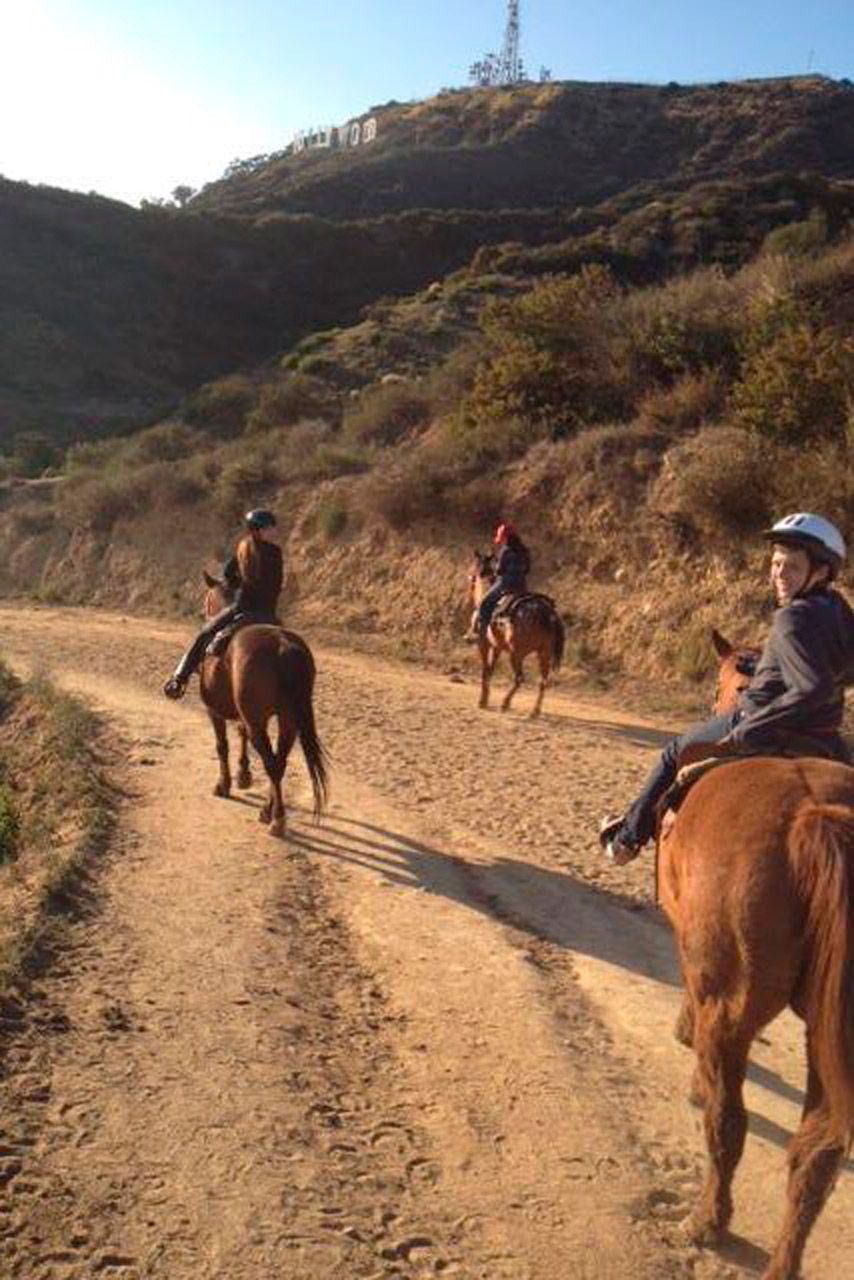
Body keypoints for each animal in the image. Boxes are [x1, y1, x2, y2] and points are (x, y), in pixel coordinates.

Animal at [198, 573, 330, 834]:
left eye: (207, 599)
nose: (201, 614)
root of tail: (283, 646)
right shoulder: (245, 716)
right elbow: (241, 735)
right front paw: (243, 775)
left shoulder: (214, 711)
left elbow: (222, 746)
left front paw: (224, 785)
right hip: (288, 721)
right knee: (279, 762)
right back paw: (269, 811)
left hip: (259, 723)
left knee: (271, 763)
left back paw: (277, 819)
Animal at [468, 550, 568, 716]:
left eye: (473, 570)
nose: (470, 582)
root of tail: (547, 613)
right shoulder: (497, 647)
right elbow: (490, 670)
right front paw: (485, 698)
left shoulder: (484, 644)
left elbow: (485, 670)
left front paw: (482, 701)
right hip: (543, 654)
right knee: (543, 681)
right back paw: (535, 710)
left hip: (516, 655)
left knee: (519, 678)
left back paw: (506, 703)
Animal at [655, 629, 854, 1269]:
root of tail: (815, 813)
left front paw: (690, 1050)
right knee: (815, 1158)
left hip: (733, 1004)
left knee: (729, 1123)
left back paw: (708, 1221)